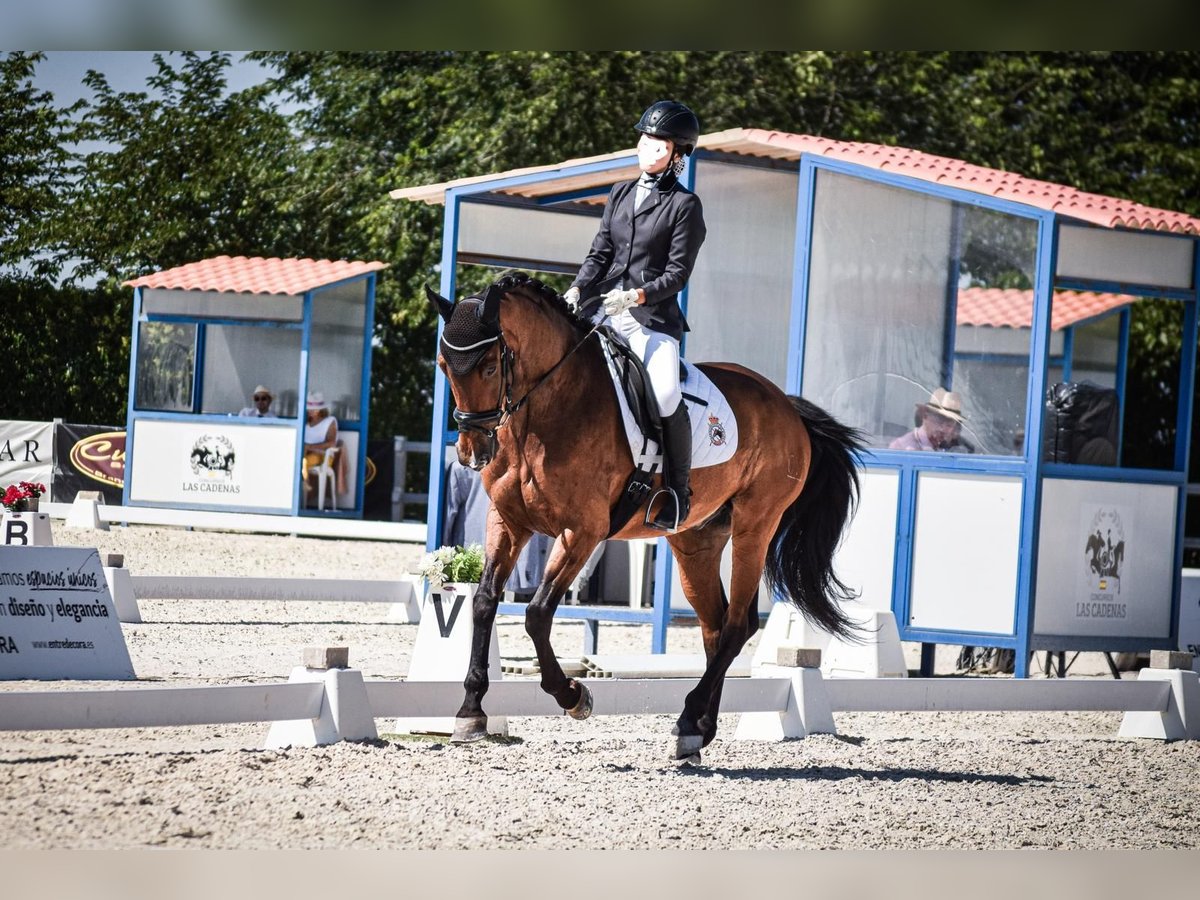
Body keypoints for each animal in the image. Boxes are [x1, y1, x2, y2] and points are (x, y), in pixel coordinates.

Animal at [429, 273, 864, 763]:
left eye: (488, 367)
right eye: (444, 365)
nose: (472, 453)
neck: (549, 406)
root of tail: (786, 406)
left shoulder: (582, 531)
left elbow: (538, 614)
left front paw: (574, 696)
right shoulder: (508, 521)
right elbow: (484, 602)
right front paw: (471, 712)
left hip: (756, 525)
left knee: (737, 625)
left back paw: (689, 719)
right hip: (696, 540)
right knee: (715, 626)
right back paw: (698, 731)